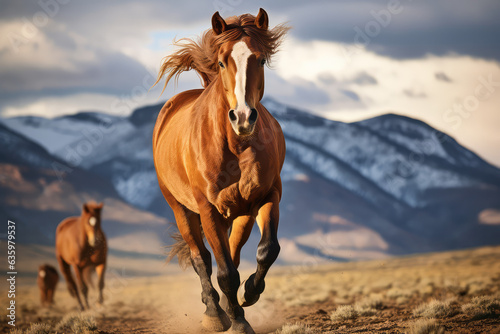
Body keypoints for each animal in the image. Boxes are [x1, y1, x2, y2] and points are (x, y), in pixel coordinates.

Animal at [152, 8, 290, 334]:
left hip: (239, 214)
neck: (235, 146)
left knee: (233, 253)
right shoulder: (208, 209)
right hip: (181, 209)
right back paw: (214, 312)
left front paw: (249, 294)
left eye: (260, 59)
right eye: (222, 61)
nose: (243, 117)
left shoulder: (266, 196)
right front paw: (236, 321)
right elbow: (223, 270)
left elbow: (267, 250)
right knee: (201, 258)